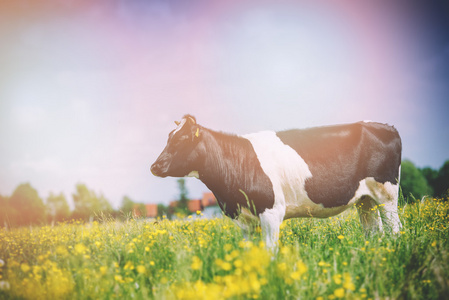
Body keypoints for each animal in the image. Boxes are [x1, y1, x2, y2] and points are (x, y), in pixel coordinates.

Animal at [151, 113, 402, 247]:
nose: (155, 166)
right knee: (374, 232)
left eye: (182, 139)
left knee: (396, 229)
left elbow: (270, 253)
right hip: (365, 200)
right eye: (168, 138)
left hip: (387, 195)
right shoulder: (245, 220)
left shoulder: (271, 212)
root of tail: (384, 126)